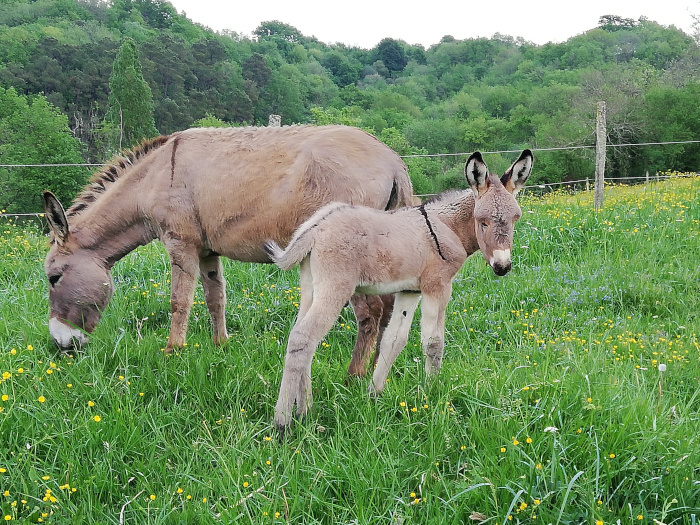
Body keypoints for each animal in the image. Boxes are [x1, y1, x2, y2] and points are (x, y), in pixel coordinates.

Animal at [266, 148, 532, 430]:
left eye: (515, 219)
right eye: (482, 222)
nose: (502, 267)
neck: (446, 227)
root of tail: (316, 226)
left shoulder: (409, 292)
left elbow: (394, 340)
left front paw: (374, 394)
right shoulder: (437, 286)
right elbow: (433, 342)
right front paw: (430, 391)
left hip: (310, 288)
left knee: (301, 338)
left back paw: (304, 410)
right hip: (335, 287)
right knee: (304, 338)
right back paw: (282, 422)